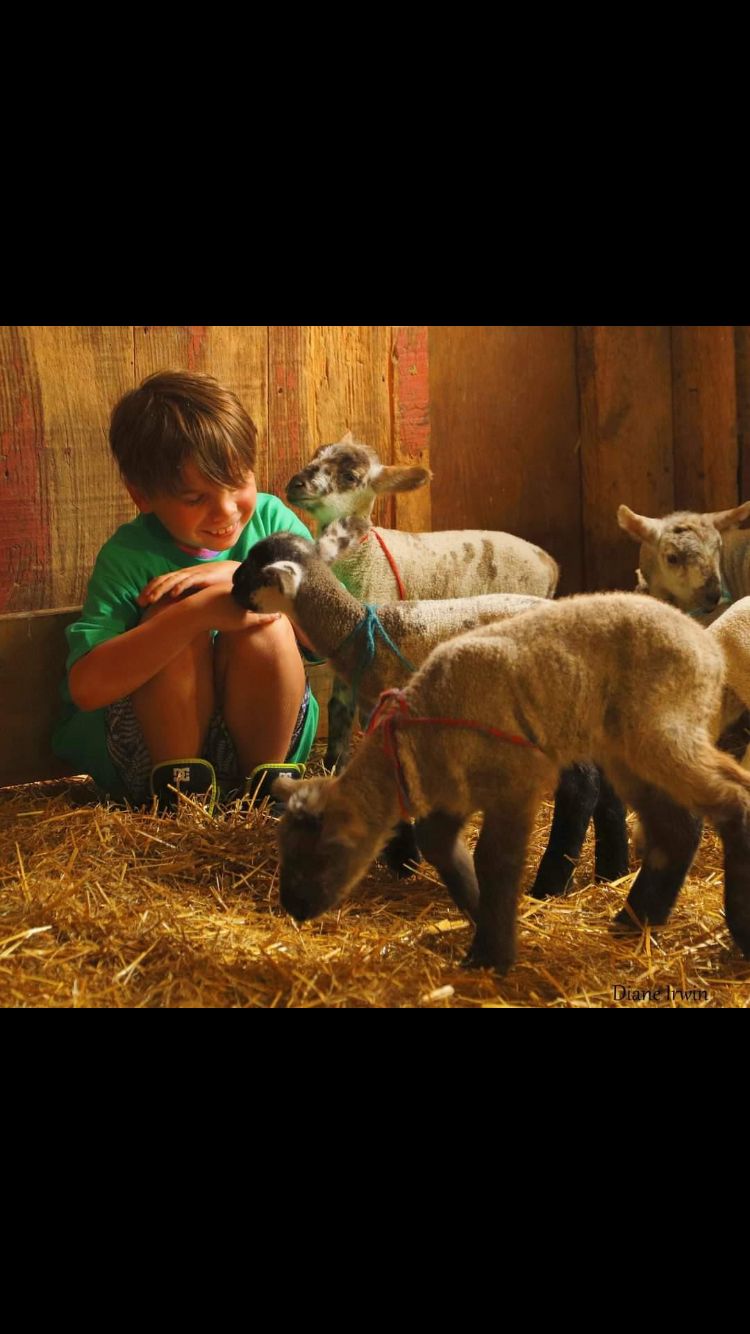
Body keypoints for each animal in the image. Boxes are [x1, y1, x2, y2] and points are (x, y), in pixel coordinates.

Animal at [232, 532, 629, 892]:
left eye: (255, 568)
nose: (232, 586)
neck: (359, 632)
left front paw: (404, 859)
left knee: (582, 787)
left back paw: (551, 884)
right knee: (607, 788)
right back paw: (612, 872)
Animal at [272, 592, 750, 974]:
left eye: (325, 852)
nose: (293, 907)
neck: (419, 733)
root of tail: (707, 646)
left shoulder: (514, 783)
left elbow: (496, 859)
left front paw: (491, 955)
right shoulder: (450, 793)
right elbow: (441, 846)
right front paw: (478, 911)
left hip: (660, 727)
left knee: (732, 799)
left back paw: (735, 925)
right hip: (631, 751)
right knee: (677, 828)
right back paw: (636, 919)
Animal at [287, 436, 559, 763]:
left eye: (350, 477)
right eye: (315, 457)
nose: (296, 483)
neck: (367, 559)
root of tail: (548, 561)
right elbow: (339, 706)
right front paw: (335, 762)